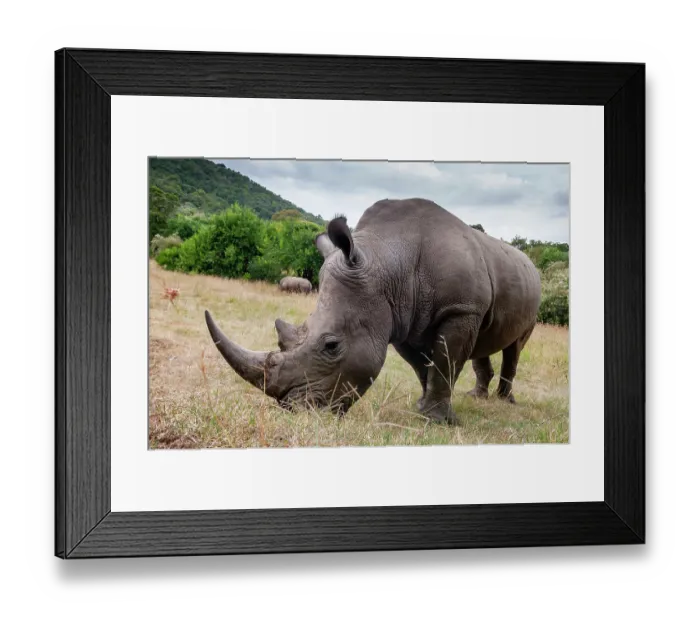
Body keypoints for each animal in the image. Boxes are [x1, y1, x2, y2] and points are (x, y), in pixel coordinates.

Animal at [205, 198, 541, 424]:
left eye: (331, 346)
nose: (294, 410)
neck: (388, 261)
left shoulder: (459, 309)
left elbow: (444, 364)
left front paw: (436, 421)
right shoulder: (405, 320)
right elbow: (424, 367)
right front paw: (422, 407)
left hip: (524, 292)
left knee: (515, 346)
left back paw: (504, 402)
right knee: (483, 341)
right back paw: (477, 397)